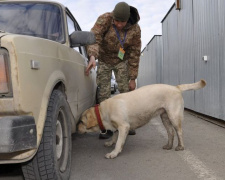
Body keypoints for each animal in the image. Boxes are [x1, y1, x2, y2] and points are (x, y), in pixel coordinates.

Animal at [77, 79, 206, 158]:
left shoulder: (124, 126)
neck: (103, 111)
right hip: (164, 117)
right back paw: (169, 145)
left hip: (174, 116)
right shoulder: (118, 127)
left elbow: (119, 142)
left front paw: (114, 153)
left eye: (81, 121)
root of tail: (176, 87)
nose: (76, 127)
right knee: (170, 132)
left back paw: (180, 146)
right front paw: (110, 142)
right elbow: (114, 136)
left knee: (179, 131)